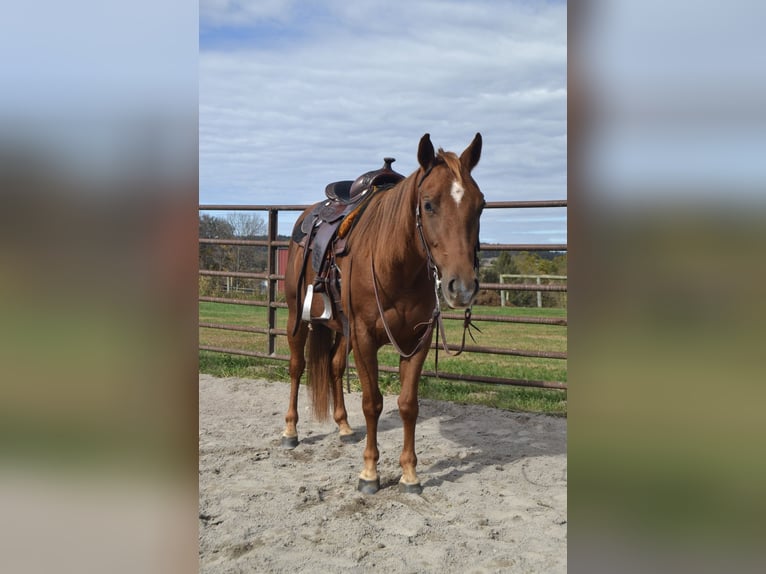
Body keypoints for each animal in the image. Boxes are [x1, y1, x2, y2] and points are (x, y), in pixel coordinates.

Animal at [280, 133, 484, 494]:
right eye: (428, 204)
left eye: (481, 205)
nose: (461, 287)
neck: (398, 266)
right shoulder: (364, 338)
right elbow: (372, 402)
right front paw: (370, 473)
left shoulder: (417, 341)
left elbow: (407, 404)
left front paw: (410, 474)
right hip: (297, 316)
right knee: (296, 367)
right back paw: (290, 431)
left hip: (341, 328)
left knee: (334, 366)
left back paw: (344, 426)